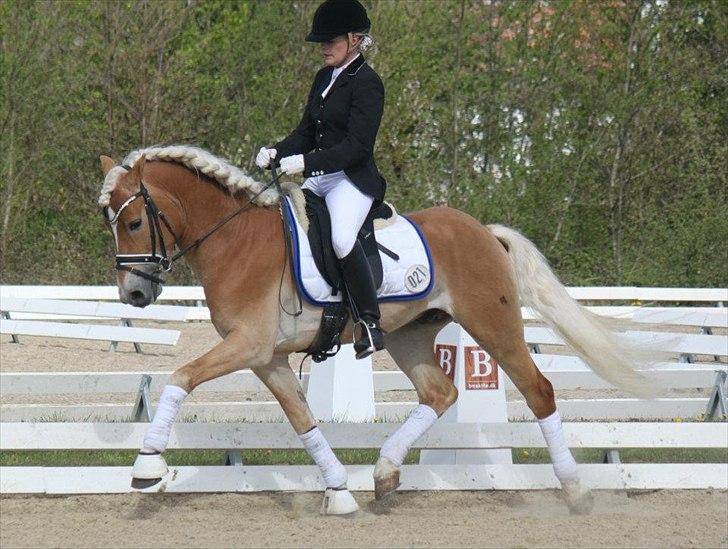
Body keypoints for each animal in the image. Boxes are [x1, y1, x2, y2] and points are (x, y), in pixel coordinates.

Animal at [98, 144, 656, 512]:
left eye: (133, 223)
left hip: (492, 323)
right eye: (111, 224)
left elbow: (180, 378)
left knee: (538, 390)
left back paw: (577, 492)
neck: (235, 240)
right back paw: (385, 473)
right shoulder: (268, 357)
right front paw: (340, 494)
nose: (134, 295)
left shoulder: (247, 346)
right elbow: (303, 421)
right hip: (411, 336)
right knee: (439, 393)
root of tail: (483, 230)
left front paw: (146, 468)